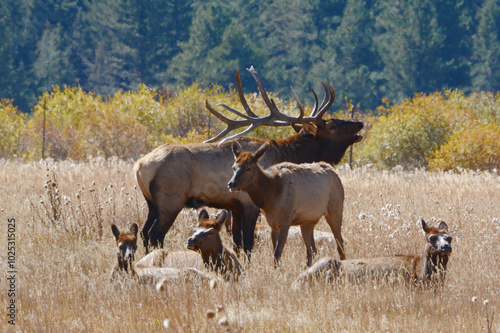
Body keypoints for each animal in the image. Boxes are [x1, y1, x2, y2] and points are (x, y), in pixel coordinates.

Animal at [134, 67, 364, 254]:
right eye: (333, 126)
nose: (359, 123)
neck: (285, 155)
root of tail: (139, 166)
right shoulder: (249, 204)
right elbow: (248, 244)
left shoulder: (235, 207)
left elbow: (237, 244)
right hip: (170, 201)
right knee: (155, 235)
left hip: (151, 203)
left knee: (143, 233)